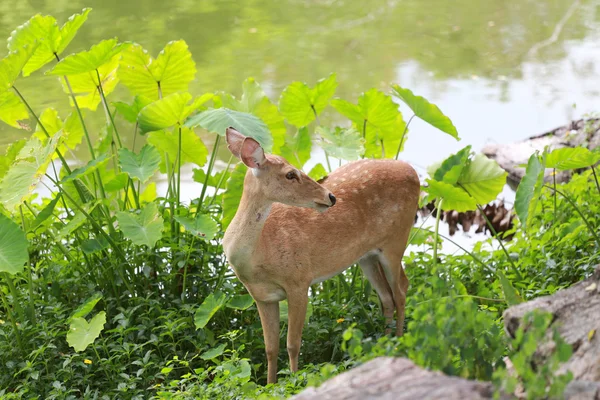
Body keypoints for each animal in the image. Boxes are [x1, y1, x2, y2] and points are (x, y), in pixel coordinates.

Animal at [221, 126, 422, 382]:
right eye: (290, 174)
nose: (331, 197)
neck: (259, 256)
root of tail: (412, 171)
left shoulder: (299, 280)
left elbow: (292, 344)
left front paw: (295, 380)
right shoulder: (262, 296)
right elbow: (270, 348)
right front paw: (269, 384)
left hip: (397, 240)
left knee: (402, 289)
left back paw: (398, 342)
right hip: (367, 255)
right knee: (386, 296)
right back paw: (385, 344)